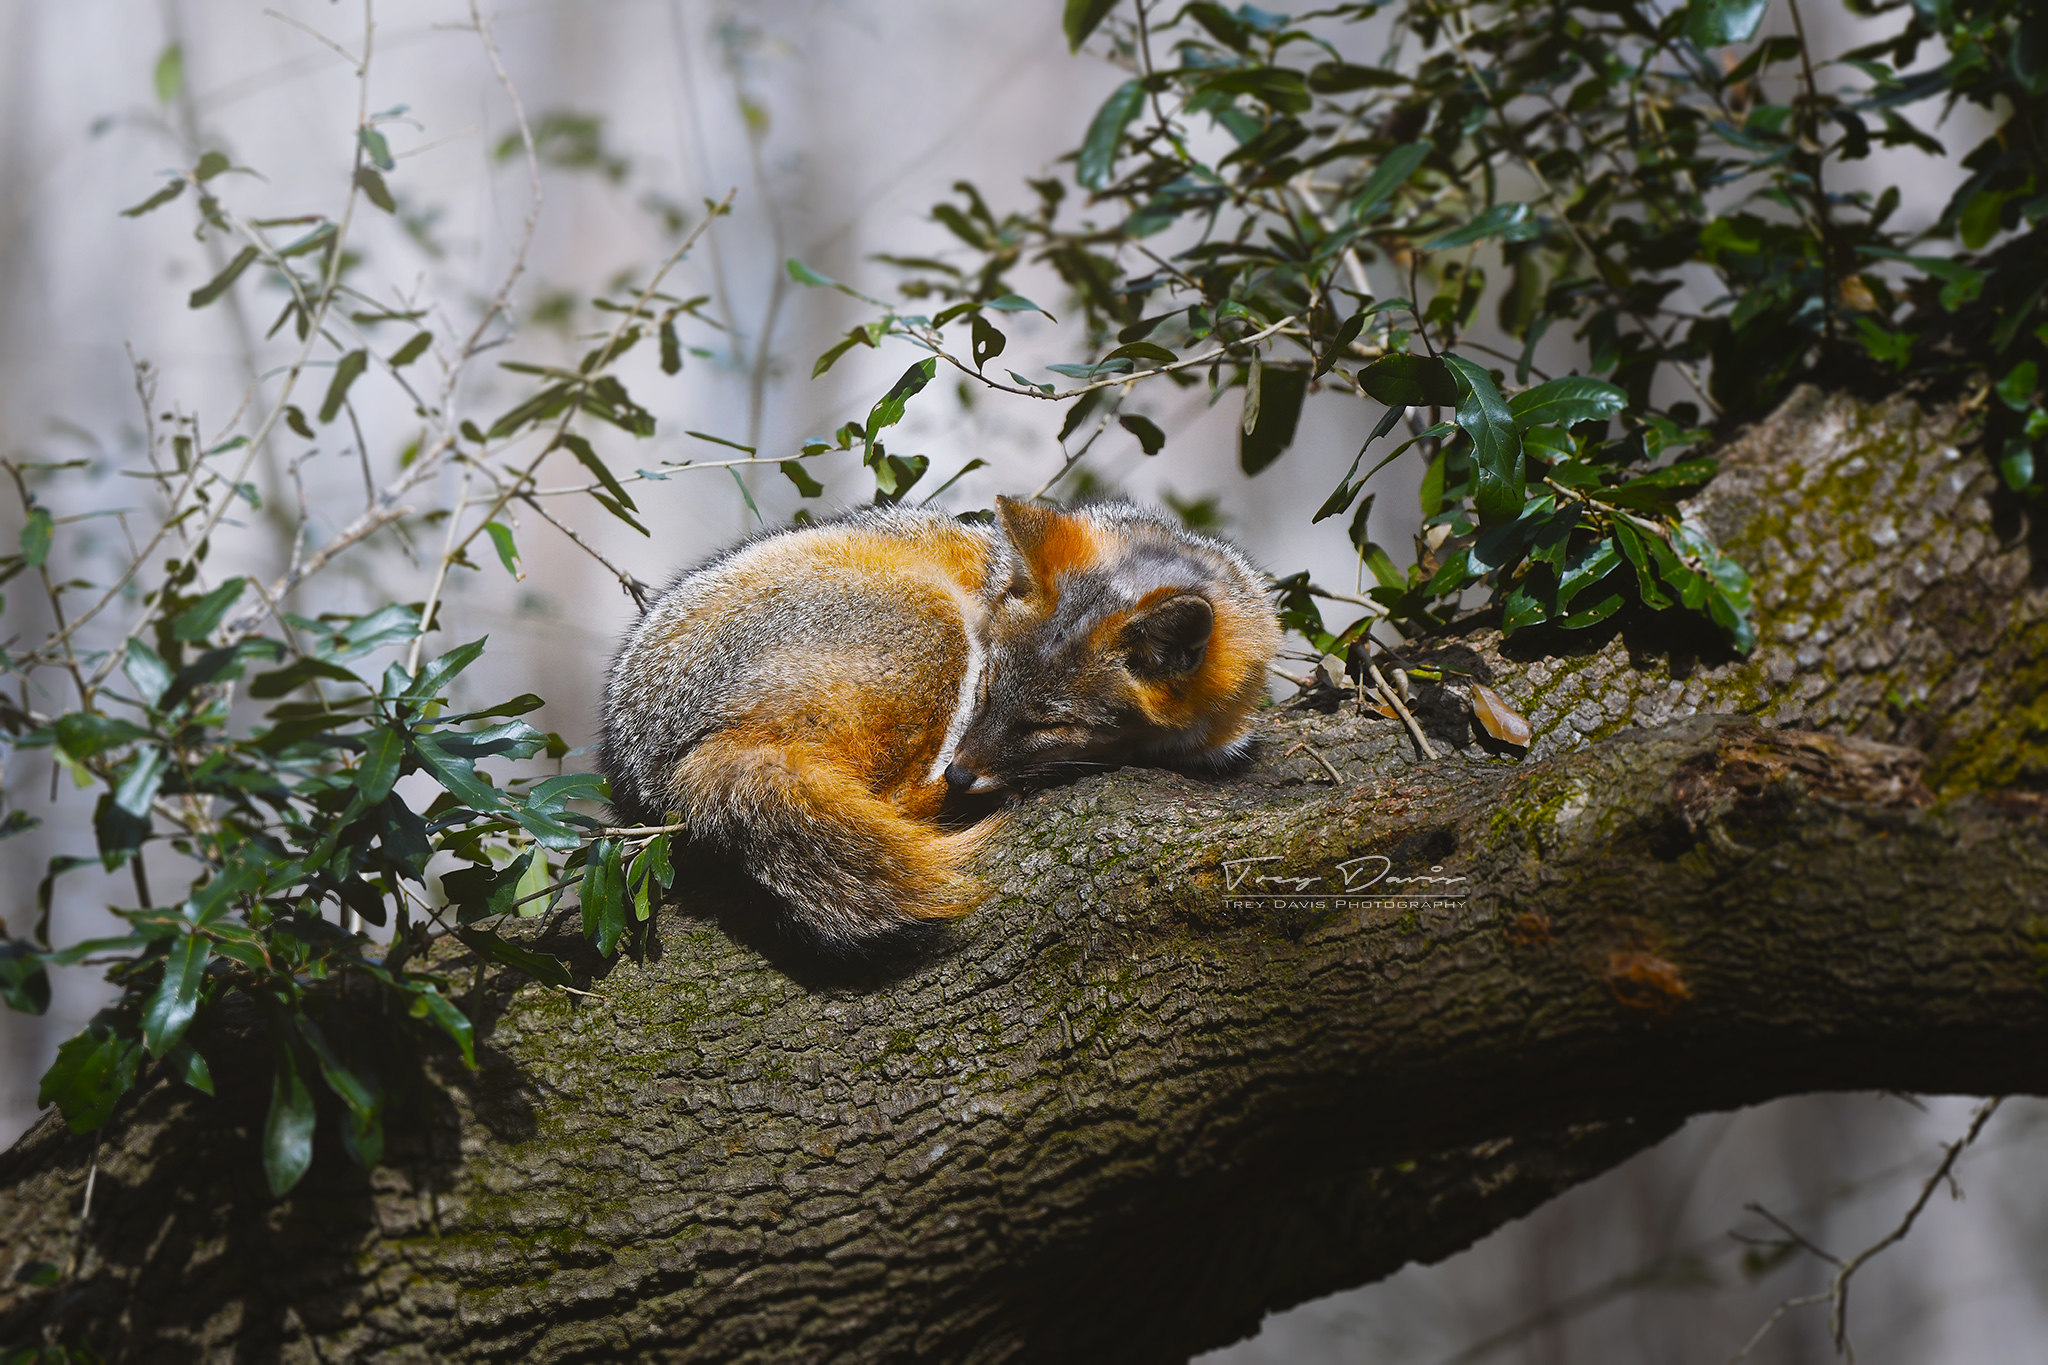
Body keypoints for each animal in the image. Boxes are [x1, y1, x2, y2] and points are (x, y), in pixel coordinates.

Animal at [597, 495, 1281, 948]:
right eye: (986, 692)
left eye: (1045, 723)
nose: (959, 774)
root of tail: (660, 764)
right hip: (936, 626)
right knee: (896, 798)